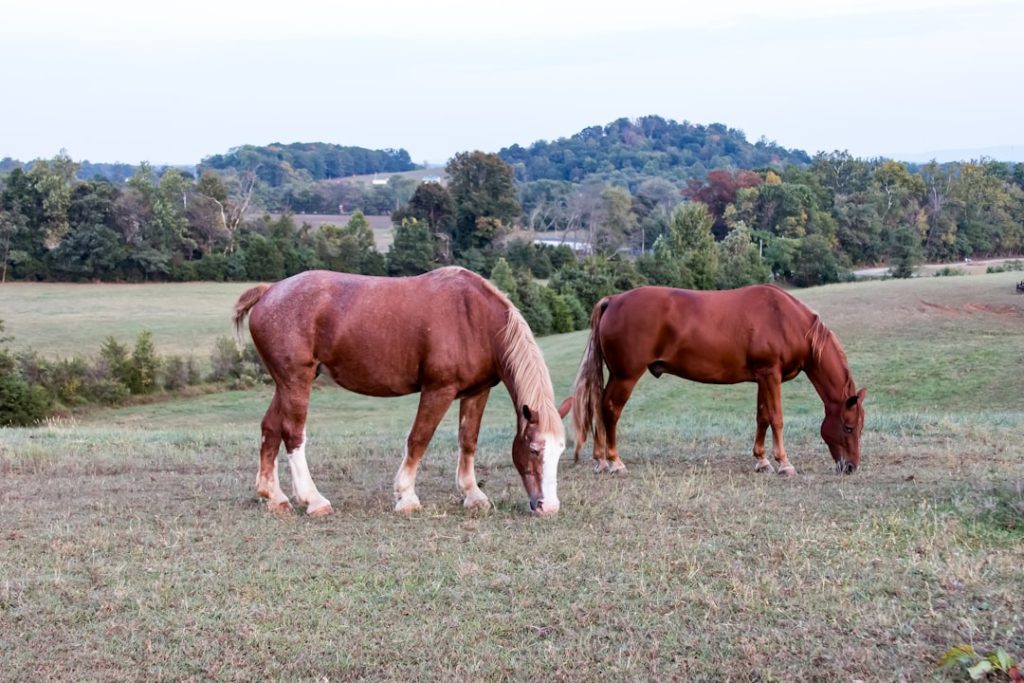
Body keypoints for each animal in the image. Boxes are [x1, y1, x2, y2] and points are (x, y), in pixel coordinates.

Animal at [232, 267, 566, 517]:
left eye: (561, 451)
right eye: (534, 449)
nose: (548, 507)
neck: (474, 318)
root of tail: (270, 290)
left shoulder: (477, 392)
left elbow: (468, 441)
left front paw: (473, 495)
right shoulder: (438, 390)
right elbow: (419, 439)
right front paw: (406, 497)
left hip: (285, 383)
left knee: (270, 428)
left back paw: (274, 496)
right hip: (296, 381)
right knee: (293, 433)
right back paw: (314, 500)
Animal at [568, 284, 866, 475]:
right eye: (849, 427)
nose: (850, 467)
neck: (785, 319)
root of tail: (614, 300)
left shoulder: (763, 377)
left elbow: (762, 416)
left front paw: (762, 461)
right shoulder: (771, 374)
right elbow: (777, 418)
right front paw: (784, 463)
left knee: (598, 406)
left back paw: (601, 461)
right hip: (625, 376)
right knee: (609, 409)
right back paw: (614, 461)